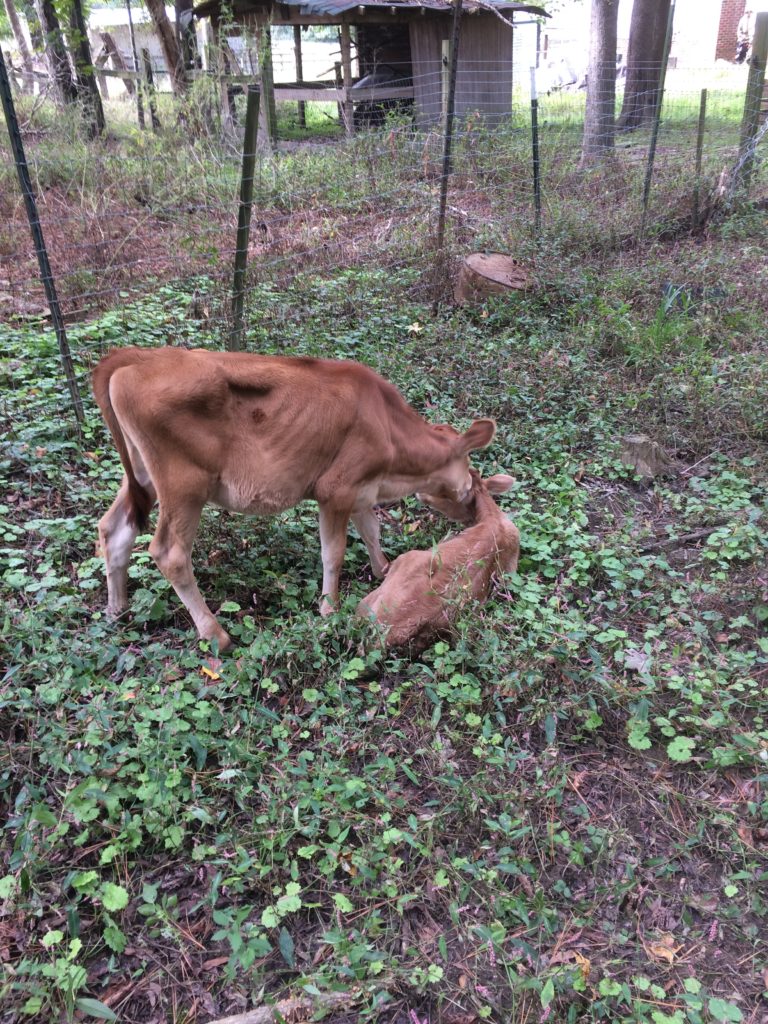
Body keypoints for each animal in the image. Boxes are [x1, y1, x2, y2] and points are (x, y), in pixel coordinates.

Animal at [91, 344, 499, 647]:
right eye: (471, 480)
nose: (472, 512)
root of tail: (133, 357)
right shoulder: (336, 488)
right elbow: (333, 552)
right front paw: (329, 608)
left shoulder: (360, 489)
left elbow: (370, 529)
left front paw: (382, 569)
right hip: (183, 483)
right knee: (170, 554)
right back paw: (215, 633)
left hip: (141, 475)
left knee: (115, 529)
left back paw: (116, 609)